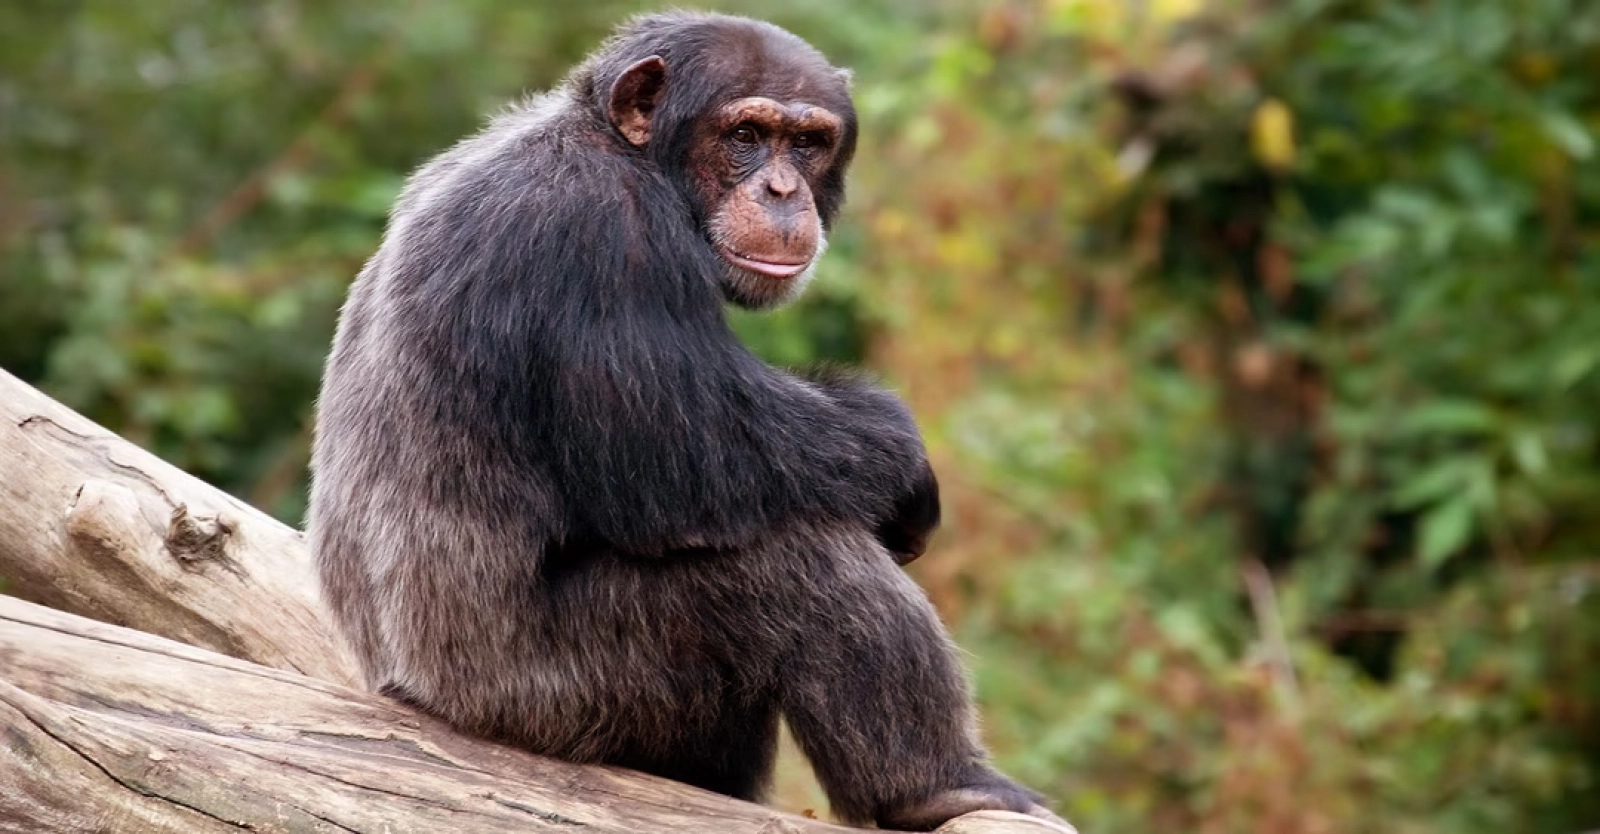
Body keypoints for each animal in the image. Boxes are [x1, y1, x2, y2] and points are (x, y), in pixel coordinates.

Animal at [307, 12, 1068, 832]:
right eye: (746, 134)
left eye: (808, 142)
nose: (781, 188)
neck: (619, 147)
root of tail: (409, 694)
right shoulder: (608, 236)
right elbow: (691, 454)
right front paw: (905, 464)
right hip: (562, 693)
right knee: (798, 563)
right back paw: (938, 786)